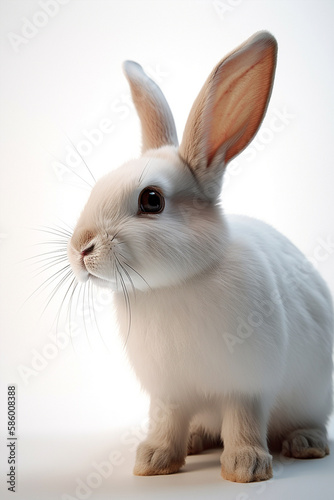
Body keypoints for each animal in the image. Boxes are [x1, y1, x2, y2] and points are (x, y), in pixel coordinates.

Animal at [66, 30, 332, 480]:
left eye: (152, 200)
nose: (81, 248)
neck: (178, 283)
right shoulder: (169, 390)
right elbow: (167, 420)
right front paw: (154, 461)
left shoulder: (247, 384)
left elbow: (243, 421)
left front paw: (246, 467)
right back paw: (194, 441)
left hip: (313, 395)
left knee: (306, 422)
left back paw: (306, 443)